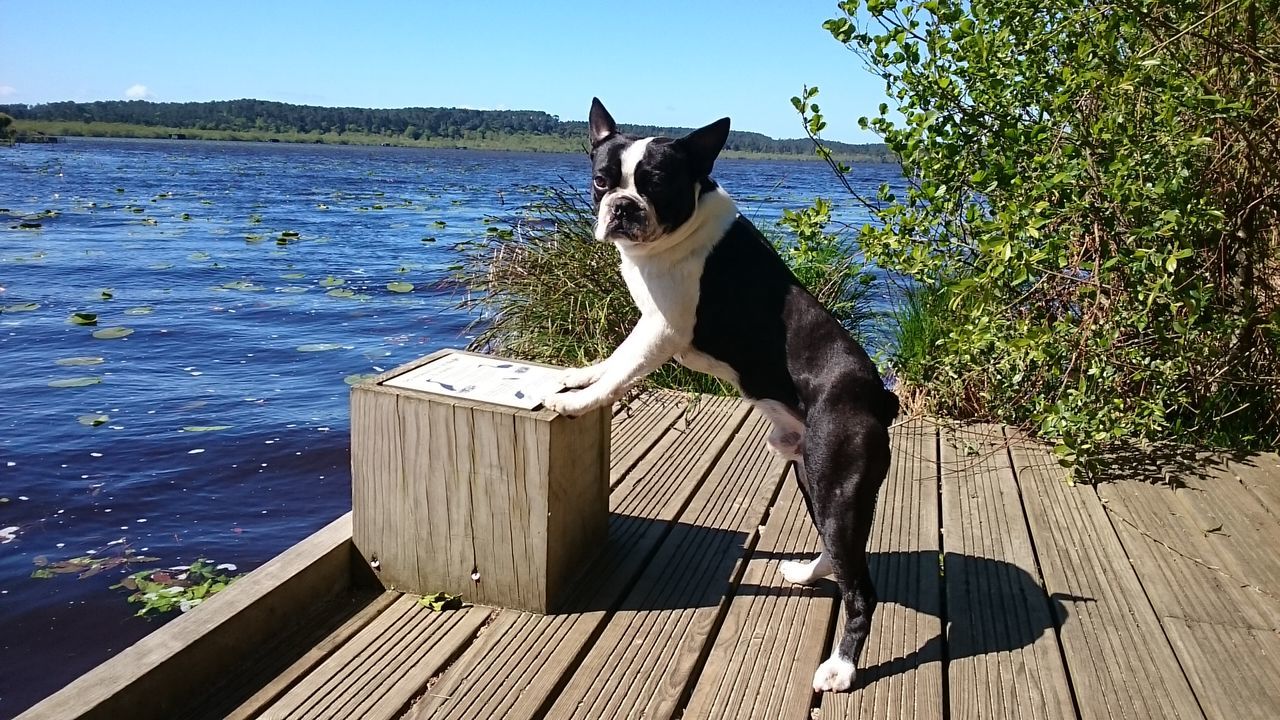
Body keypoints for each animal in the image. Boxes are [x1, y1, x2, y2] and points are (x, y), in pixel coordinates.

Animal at [542, 96, 901, 691]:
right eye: (600, 181)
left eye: (657, 184)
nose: (622, 207)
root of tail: (879, 398)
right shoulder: (646, 324)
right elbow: (611, 359)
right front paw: (579, 375)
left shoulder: (661, 330)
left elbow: (621, 370)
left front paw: (578, 401)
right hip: (813, 476)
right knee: (839, 548)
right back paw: (808, 572)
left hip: (836, 479)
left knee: (862, 590)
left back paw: (842, 668)